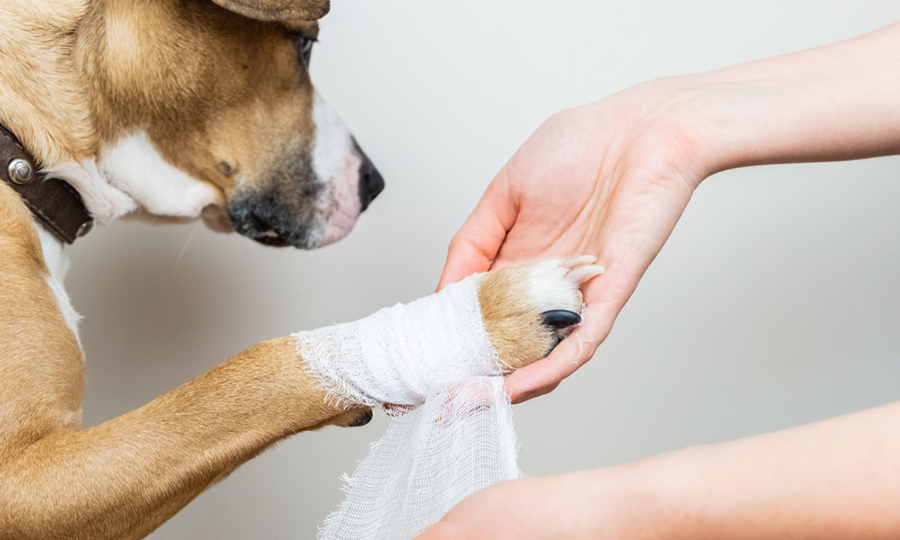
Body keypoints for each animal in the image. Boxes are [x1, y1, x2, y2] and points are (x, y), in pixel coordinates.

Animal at [0, 1, 596, 540]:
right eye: (306, 46)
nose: (374, 184)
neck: (24, 147)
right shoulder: (26, 485)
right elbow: (245, 376)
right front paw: (491, 315)